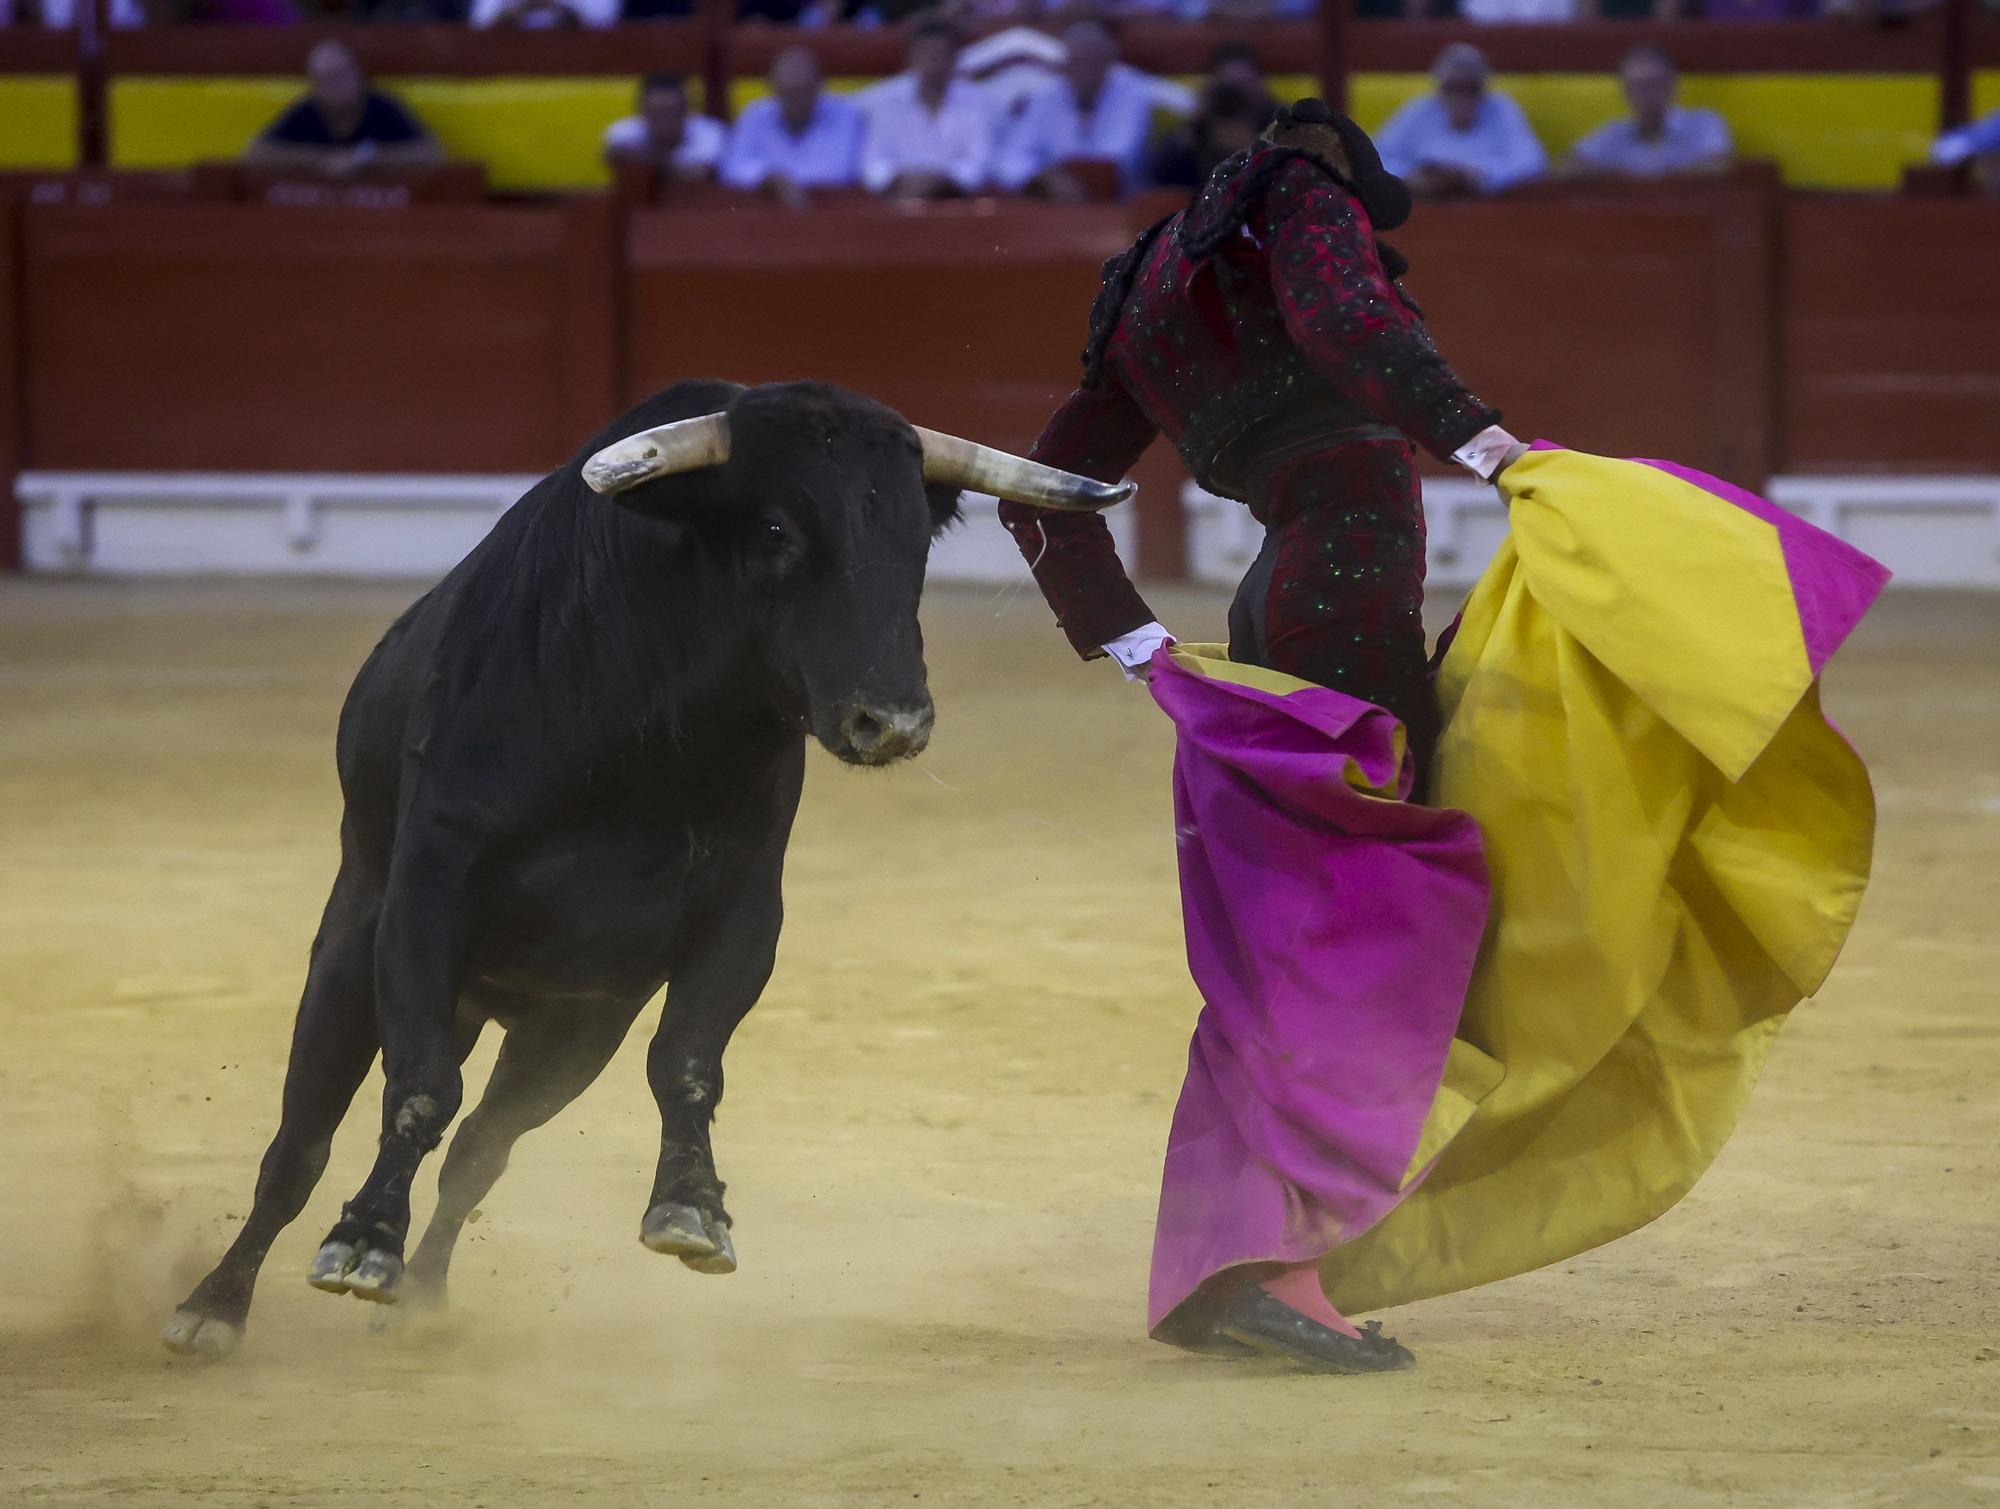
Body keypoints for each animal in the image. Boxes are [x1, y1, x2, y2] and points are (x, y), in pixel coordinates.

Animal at [164, 382, 1032, 1360]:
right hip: (351, 951)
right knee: (299, 1147)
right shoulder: (427, 886)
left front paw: (692, 1210)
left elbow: (685, 1060)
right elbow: (418, 1085)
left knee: (480, 1150)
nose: (892, 720)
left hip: (567, 1032)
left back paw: (422, 1296)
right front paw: (361, 1244)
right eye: (775, 528)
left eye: (916, 539)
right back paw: (216, 1304)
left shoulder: (741, 914)